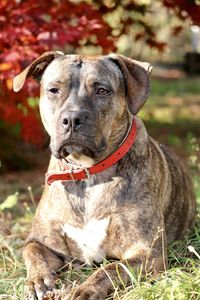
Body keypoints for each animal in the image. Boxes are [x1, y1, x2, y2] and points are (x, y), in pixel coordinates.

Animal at [12, 52, 195, 298]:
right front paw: (37, 281)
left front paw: (84, 290)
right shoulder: (39, 240)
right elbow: (33, 253)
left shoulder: (148, 252)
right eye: (53, 90)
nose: (72, 119)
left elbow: (111, 269)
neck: (87, 173)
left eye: (101, 90)